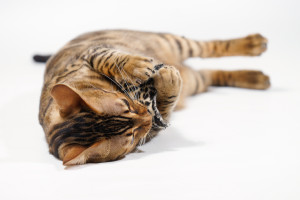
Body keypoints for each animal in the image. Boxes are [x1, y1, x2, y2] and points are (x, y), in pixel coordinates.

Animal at [37, 29, 270, 166]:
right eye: (131, 137)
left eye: (126, 104)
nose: (146, 118)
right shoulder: (155, 127)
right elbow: (165, 105)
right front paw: (168, 80)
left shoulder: (90, 52)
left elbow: (108, 58)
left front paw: (137, 66)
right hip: (196, 81)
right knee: (211, 74)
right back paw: (256, 78)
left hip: (174, 42)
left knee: (210, 48)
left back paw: (253, 44)